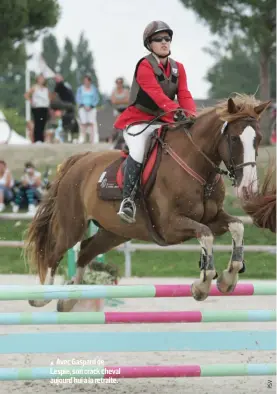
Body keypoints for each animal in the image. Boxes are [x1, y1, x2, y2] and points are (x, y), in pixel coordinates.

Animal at [24, 93, 270, 310]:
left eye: (258, 139)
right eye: (234, 139)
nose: (249, 187)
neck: (199, 169)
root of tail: (79, 160)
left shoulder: (213, 218)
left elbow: (237, 226)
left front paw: (227, 280)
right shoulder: (171, 226)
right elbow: (206, 235)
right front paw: (201, 286)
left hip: (115, 232)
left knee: (85, 252)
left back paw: (69, 300)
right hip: (72, 224)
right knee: (54, 254)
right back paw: (41, 298)